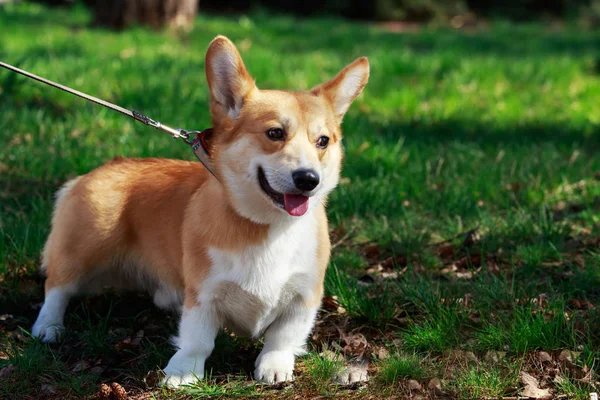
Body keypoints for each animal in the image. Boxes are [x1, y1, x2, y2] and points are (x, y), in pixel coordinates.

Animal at [34, 35, 370, 388]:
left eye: (323, 141)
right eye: (275, 133)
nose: (309, 180)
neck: (267, 226)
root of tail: (94, 172)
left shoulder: (303, 296)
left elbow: (282, 337)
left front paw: (274, 366)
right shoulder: (203, 295)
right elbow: (198, 339)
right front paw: (183, 373)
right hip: (83, 249)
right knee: (57, 287)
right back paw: (48, 327)